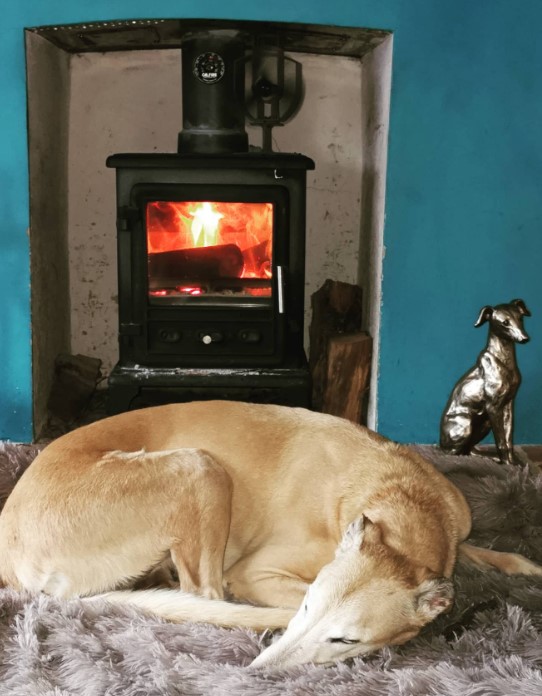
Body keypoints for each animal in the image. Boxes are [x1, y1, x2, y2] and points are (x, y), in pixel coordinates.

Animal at [1, 402, 542, 668]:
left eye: (345, 637)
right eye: (307, 609)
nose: (260, 672)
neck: (402, 504)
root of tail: (14, 566)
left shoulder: (454, 529)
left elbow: (485, 550)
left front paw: (524, 566)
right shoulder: (255, 573)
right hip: (200, 468)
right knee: (206, 595)